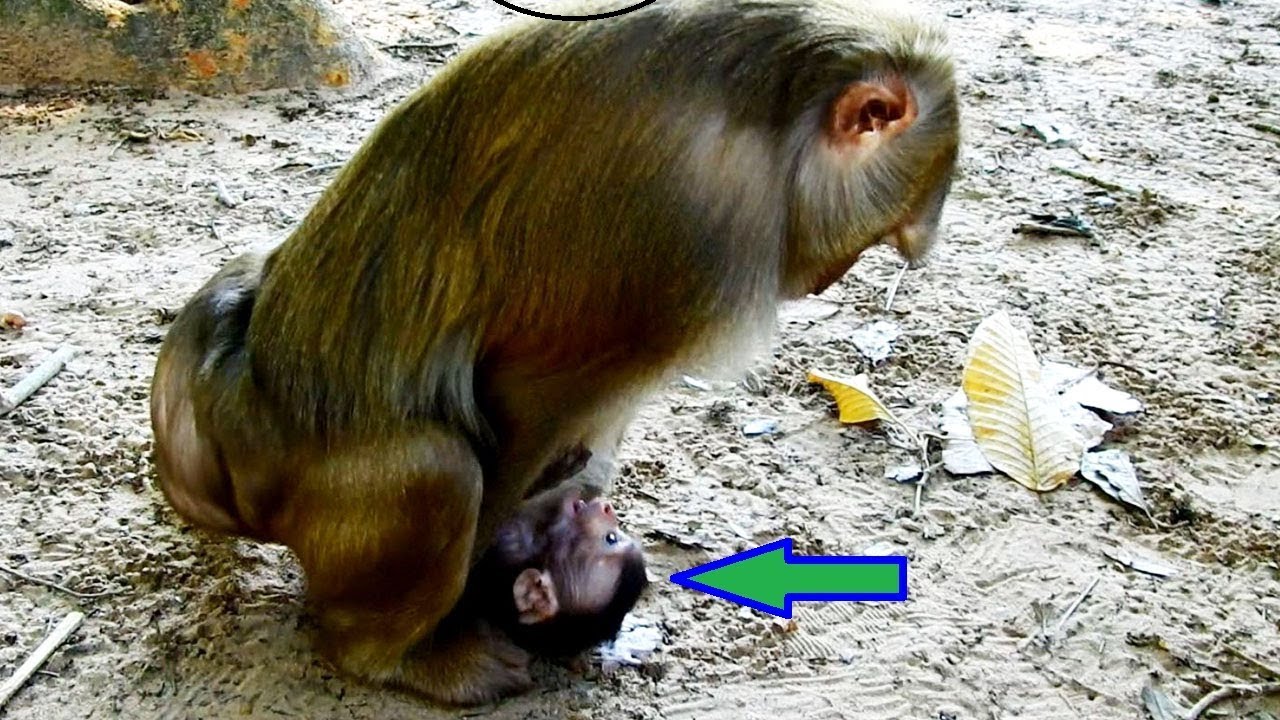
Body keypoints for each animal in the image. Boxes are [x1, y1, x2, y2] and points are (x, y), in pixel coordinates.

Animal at [150, 0, 960, 706]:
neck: (770, 109)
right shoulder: (689, 224)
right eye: (878, 235)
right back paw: (387, 652)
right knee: (437, 470)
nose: (828, 278)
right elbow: (525, 395)